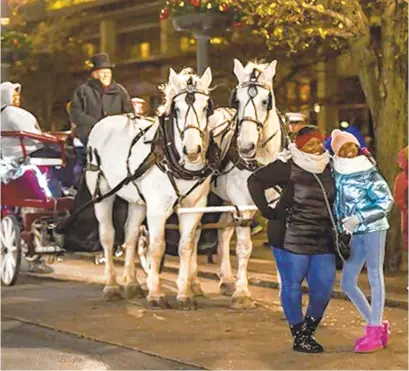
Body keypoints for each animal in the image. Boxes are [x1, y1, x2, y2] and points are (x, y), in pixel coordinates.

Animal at [86, 66, 218, 308]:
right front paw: (156, 293)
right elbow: (157, 247)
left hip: (137, 200)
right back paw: (112, 286)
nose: (192, 150)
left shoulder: (194, 207)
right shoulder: (157, 208)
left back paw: (132, 284)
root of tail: (106, 120)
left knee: (130, 234)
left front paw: (184, 294)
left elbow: (186, 247)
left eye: (206, 107)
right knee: (108, 235)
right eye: (177, 109)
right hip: (102, 193)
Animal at [210, 59, 280, 310]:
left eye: (266, 100)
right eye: (237, 100)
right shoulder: (242, 204)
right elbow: (243, 248)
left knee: (223, 232)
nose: (246, 146)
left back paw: (226, 279)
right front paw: (242, 292)